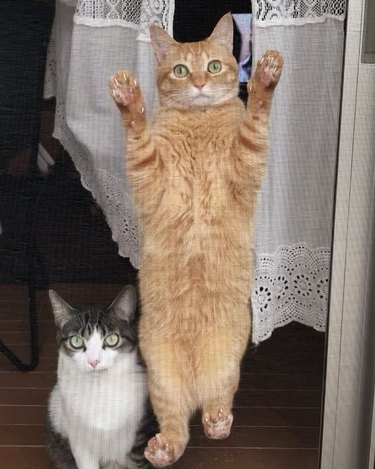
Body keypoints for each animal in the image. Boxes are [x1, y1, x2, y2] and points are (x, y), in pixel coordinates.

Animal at [46, 286, 158, 468]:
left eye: (112, 339)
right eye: (76, 341)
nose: (94, 361)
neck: (100, 388)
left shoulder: (141, 437)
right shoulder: (79, 440)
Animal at [110, 12, 284, 466]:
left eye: (214, 66)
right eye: (181, 71)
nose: (201, 84)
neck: (198, 122)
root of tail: (191, 378)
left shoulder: (244, 161)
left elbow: (255, 118)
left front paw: (265, 78)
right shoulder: (150, 175)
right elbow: (138, 135)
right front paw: (127, 97)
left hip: (226, 366)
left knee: (214, 407)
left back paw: (217, 422)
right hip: (162, 381)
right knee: (177, 427)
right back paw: (163, 448)